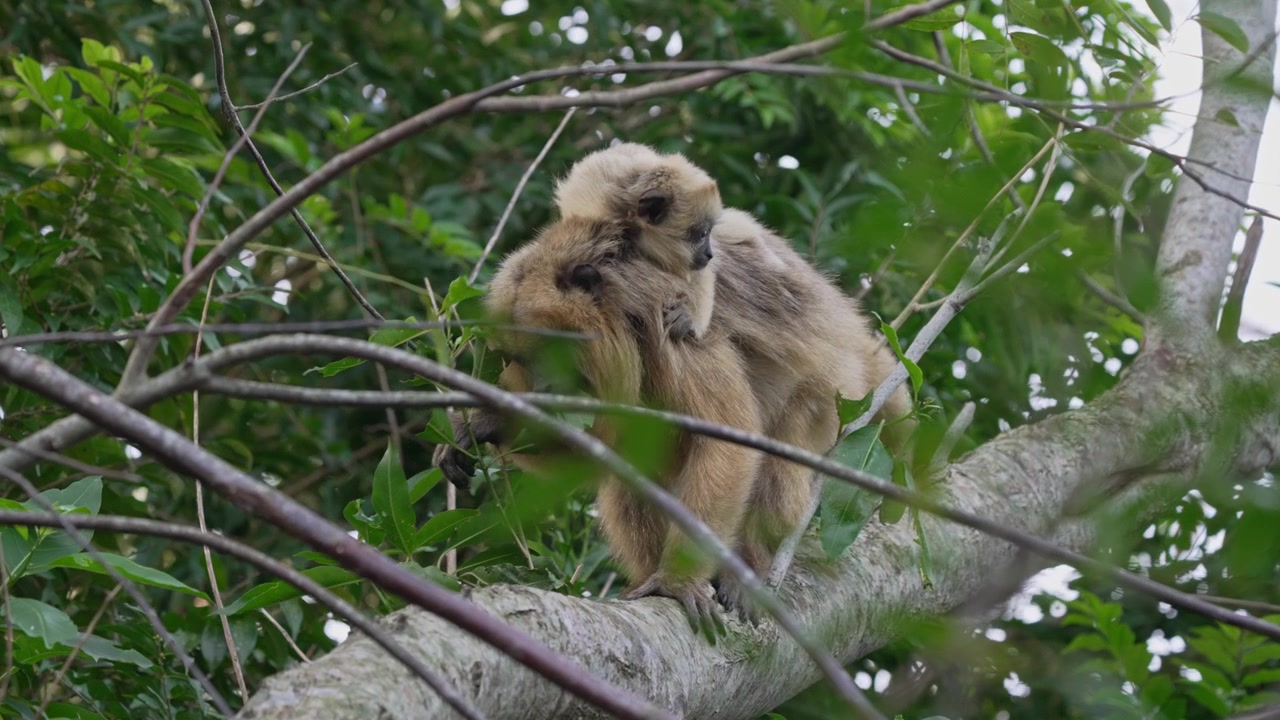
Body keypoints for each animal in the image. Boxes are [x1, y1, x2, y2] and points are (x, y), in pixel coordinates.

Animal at [432, 216, 765, 632]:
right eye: (522, 360)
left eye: (551, 346)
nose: (542, 387)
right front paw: (482, 423)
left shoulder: (665, 323)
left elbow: (729, 440)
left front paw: (678, 581)